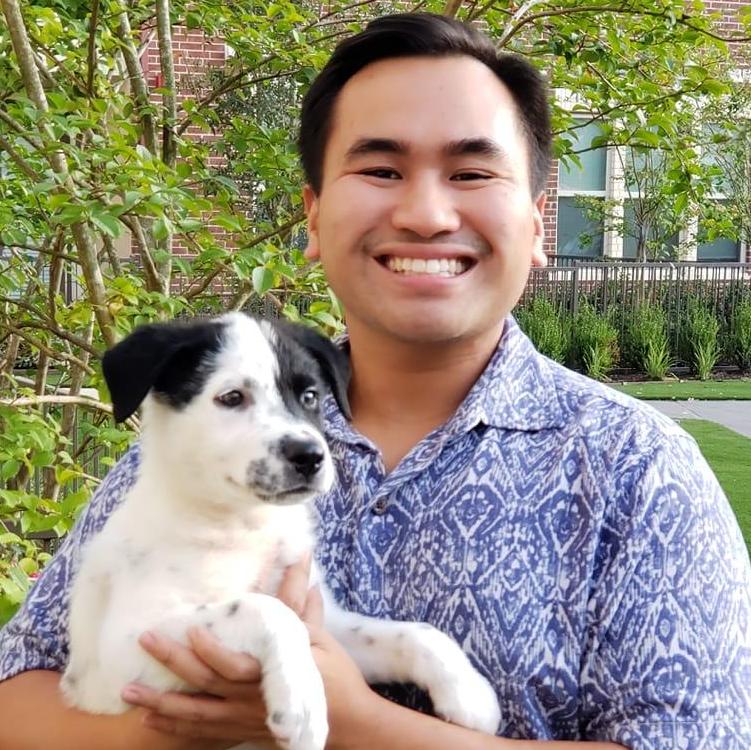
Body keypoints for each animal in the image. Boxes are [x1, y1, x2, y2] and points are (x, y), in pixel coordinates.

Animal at [61, 312, 501, 750]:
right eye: (232, 397)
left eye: (309, 397)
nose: (310, 456)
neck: (243, 524)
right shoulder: (127, 646)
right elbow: (266, 609)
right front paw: (302, 704)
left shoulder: (328, 623)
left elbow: (413, 634)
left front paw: (469, 692)